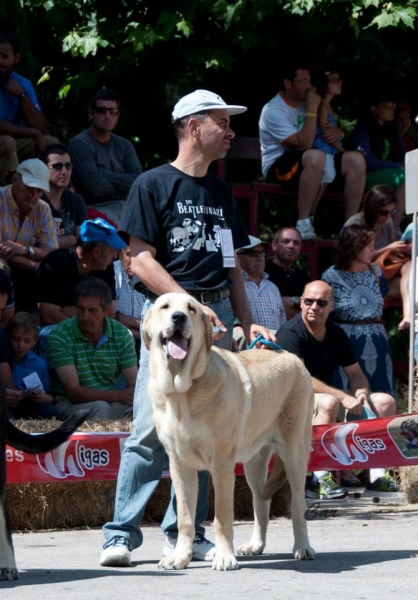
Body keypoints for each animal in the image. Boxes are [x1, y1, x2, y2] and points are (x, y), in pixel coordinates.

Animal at [142, 292, 316, 568]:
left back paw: (302, 547)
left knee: (297, 504)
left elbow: (222, 516)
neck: (182, 393)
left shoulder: (222, 464)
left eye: (191, 309)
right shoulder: (180, 465)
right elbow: (185, 519)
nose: (178, 317)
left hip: (294, 454)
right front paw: (180, 558)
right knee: (261, 500)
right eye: (165, 307)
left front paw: (224, 557)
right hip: (254, 463)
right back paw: (256, 545)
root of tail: (292, 356)